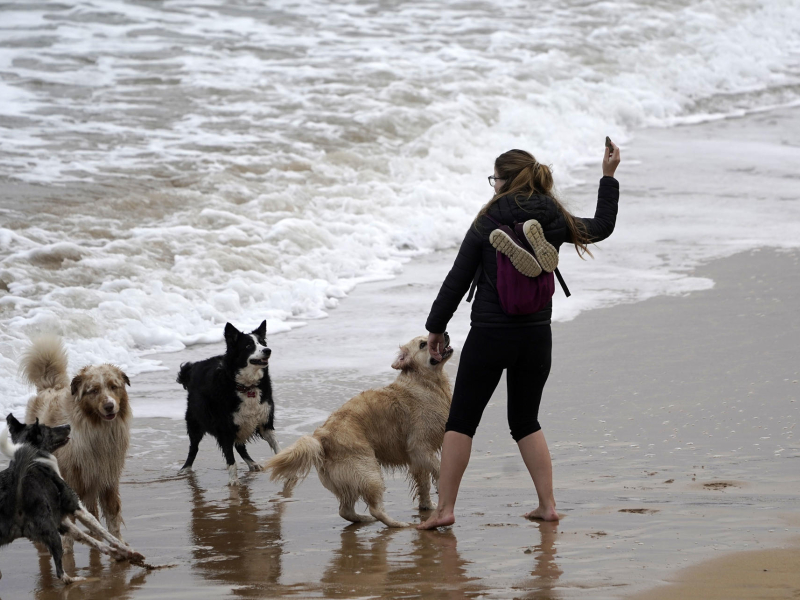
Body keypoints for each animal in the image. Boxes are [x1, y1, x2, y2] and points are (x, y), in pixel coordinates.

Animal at [0, 414, 144, 584]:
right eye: (48, 429)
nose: (68, 426)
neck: (36, 460)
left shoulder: (62, 522)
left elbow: (89, 538)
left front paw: (119, 554)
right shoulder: (77, 508)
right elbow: (104, 533)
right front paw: (127, 550)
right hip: (51, 532)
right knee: (61, 574)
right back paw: (76, 579)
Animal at [21, 336, 131, 548]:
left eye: (114, 386)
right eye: (93, 390)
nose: (109, 406)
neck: (97, 429)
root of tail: (48, 387)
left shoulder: (108, 479)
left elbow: (113, 517)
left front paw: (119, 544)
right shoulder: (71, 481)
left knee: (93, 511)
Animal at [177, 322, 280, 486]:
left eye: (262, 343)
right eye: (248, 345)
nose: (267, 350)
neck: (247, 387)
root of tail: (193, 367)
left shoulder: (265, 423)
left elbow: (277, 446)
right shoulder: (225, 428)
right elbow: (231, 460)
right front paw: (234, 481)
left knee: (239, 446)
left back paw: (252, 464)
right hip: (195, 421)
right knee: (193, 448)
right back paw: (185, 469)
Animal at [266, 336, 454, 528]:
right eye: (424, 344)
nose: (445, 333)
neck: (425, 382)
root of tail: (320, 437)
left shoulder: (417, 461)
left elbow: (424, 484)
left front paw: (427, 506)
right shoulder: (419, 448)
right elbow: (438, 468)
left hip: (346, 479)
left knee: (345, 510)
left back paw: (365, 520)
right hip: (368, 471)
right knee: (375, 508)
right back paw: (396, 524)